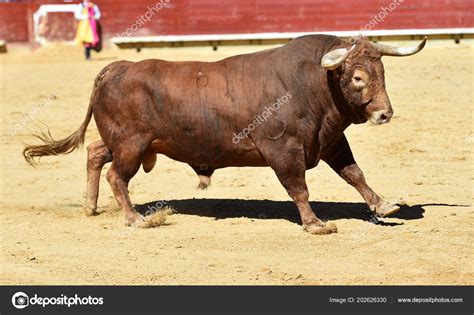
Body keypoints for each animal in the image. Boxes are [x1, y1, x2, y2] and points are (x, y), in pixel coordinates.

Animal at [24, 35, 428, 236]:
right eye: (358, 77)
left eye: (382, 72)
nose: (384, 113)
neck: (312, 83)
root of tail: (117, 67)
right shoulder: (284, 150)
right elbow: (299, 187)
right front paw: (315, 224)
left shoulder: (329, 141)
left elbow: (354, 174)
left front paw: (383, 205)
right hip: (130, 144)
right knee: (115, 175)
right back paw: (135, 219)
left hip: (128, 143)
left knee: (95, 152)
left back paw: (90, 206)